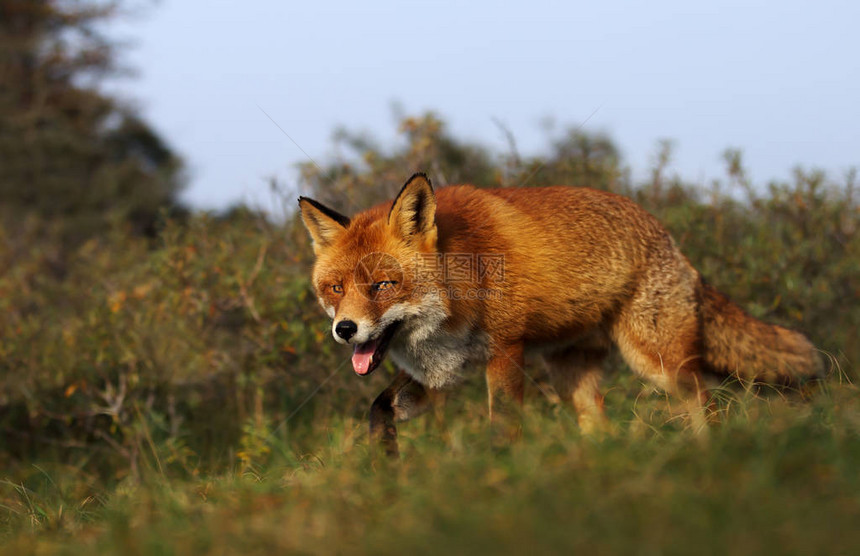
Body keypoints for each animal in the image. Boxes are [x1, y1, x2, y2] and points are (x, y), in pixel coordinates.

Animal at [298, 174, 824, 456]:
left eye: (383, 286)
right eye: (336, 288)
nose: (345, 329)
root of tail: (665, 233)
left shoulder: (506, 352)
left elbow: (502, 428)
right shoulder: (442, 372)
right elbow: (378, 408)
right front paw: (384, 464)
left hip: (658, 363)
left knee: (705, 402)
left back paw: (709, 453)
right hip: (573, 376)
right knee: (603, 428)